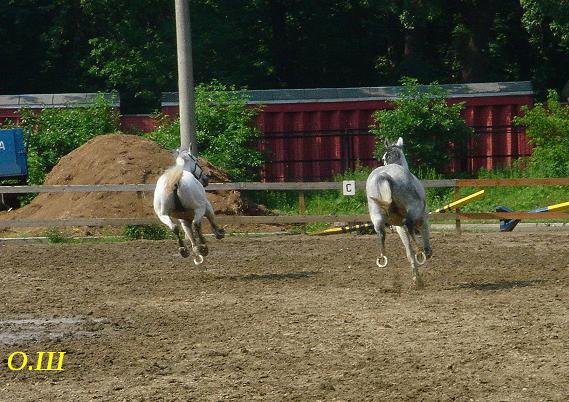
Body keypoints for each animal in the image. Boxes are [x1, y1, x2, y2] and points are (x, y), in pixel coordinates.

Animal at [366, 138, 432, 288]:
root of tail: (384, 175)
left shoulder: (398, 227)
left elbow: (408, 251)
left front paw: (416, 279)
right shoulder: (423, 219)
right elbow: (424, 235)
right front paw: (426, 252)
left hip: (376, 216)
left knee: (381, 233)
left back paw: (382, 257)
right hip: (414, 210)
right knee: (409, 223)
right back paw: (421, 252)